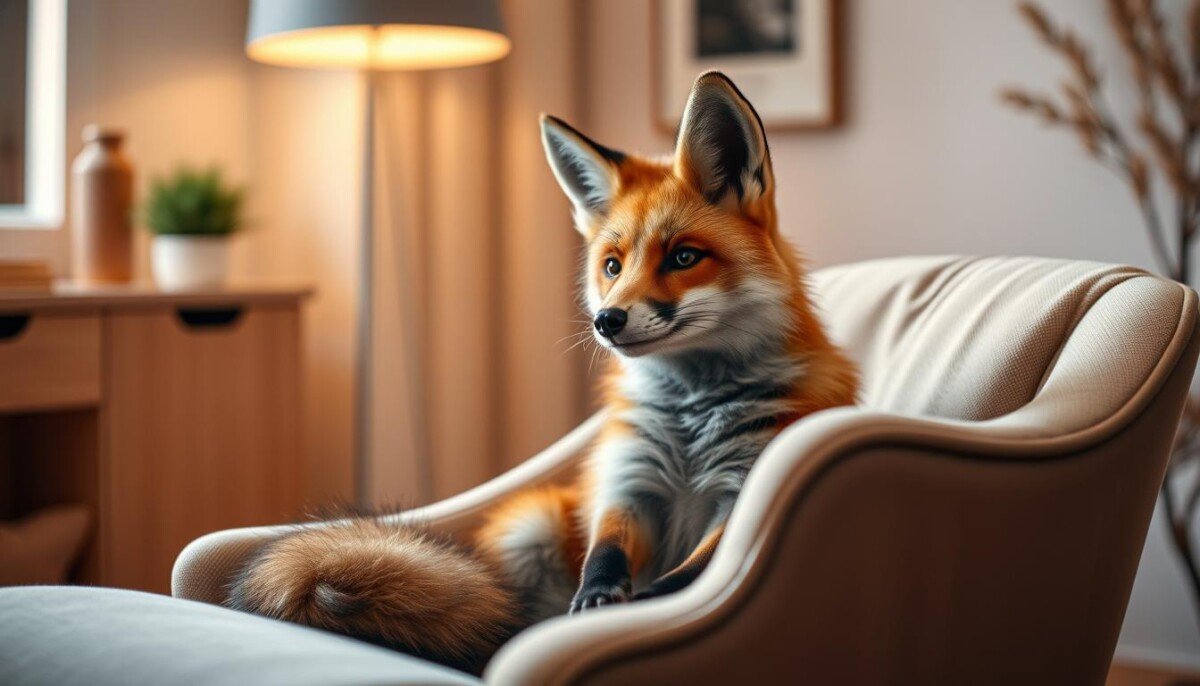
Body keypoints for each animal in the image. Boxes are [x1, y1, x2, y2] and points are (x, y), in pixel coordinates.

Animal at [228, 71, 858, 674]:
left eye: (683, 257)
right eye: (612, 266)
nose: (607, 321)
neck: (690, 417)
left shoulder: (741, 493)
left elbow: (687, 580)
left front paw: (637, 609)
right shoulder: (627, 482)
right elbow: (604, 554)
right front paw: (597, 599)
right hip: (532, 527)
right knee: (500, 623)